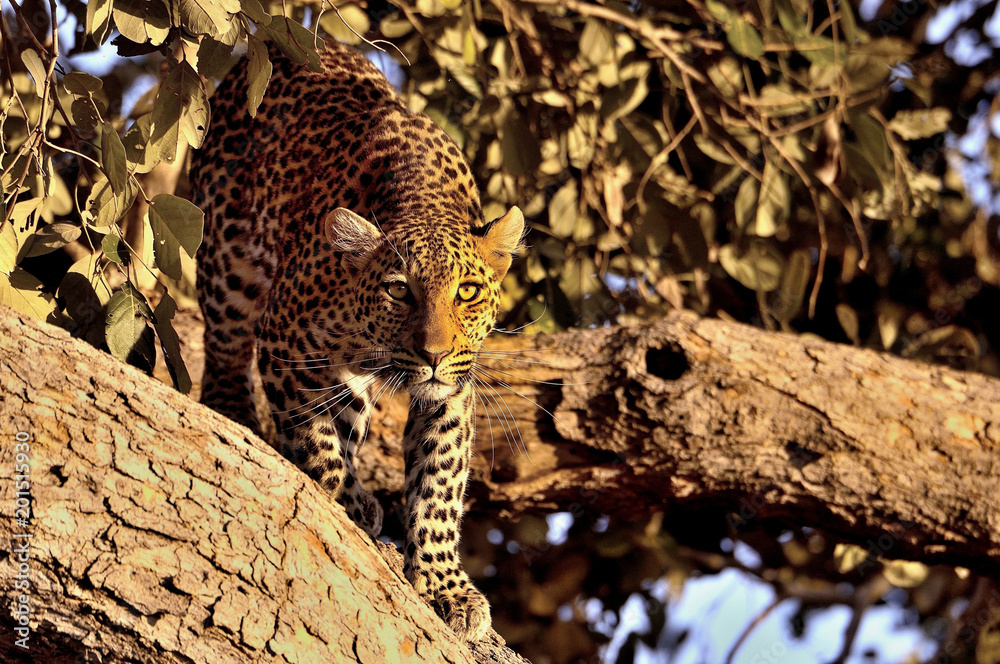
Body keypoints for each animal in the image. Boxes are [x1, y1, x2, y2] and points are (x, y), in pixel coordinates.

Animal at [189, 39, 523, 642]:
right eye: (399, 290)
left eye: (466, 291)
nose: (434, 354)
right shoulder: (286, 343)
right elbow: (318, 437)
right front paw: (342, 497)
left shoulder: (455, 387)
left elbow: (439, 481)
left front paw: (445, 586)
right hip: (227, 258)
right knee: (225, 342)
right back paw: (234, 411)